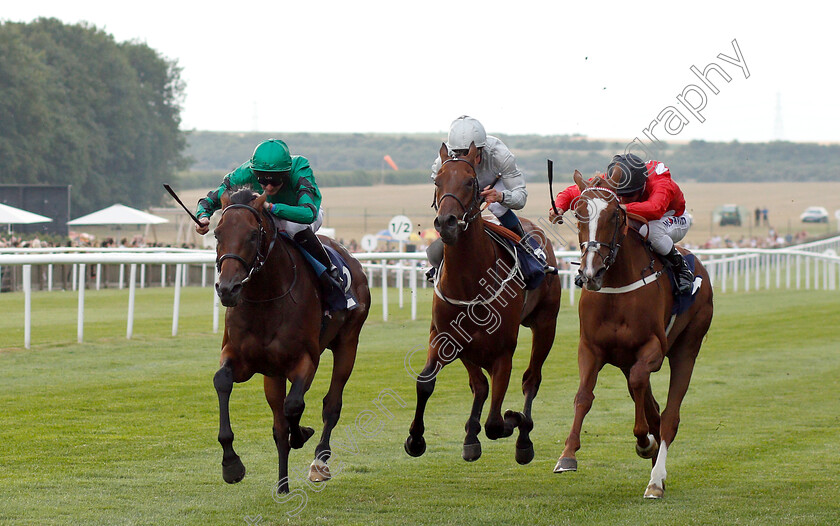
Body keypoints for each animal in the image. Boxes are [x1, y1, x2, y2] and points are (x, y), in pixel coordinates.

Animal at [212, 189, 370, 496]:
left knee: (331, 404)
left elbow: (294, 406)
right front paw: (231, 464)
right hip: (273, 373)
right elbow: (222, 381)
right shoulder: (240, 358)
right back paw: (282, 485)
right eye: (217, 233)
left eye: (252, 234)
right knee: (278, 422)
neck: (265, 298)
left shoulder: (306, 359)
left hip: (348, 343)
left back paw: (319, 463)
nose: (228, 289)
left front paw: (302, 434)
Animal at [404, 143, 560, 466]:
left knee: (531, 379)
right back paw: (470, 437)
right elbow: (426, 382)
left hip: (545, 323)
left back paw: (523, 438)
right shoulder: (446, 337)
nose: (446, 223)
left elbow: (496, 422)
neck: (470, 280)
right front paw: (416, 438)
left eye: (469, 182)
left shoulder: (503, 352)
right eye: (437, 181)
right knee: (481, 386)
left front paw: (516, 420)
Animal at [556, 168, 716, 500]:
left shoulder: (652, 348)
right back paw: (658, 471)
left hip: (688, 346)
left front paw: (644, 443)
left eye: (615, 215)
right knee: (652, 407)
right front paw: (567, 455)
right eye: (578, 213)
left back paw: (655, 480)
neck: (616, 286)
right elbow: (583, 396)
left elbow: (642, 388)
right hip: (625, 359)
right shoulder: (590, 348)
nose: (590, 273)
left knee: (668, 416)